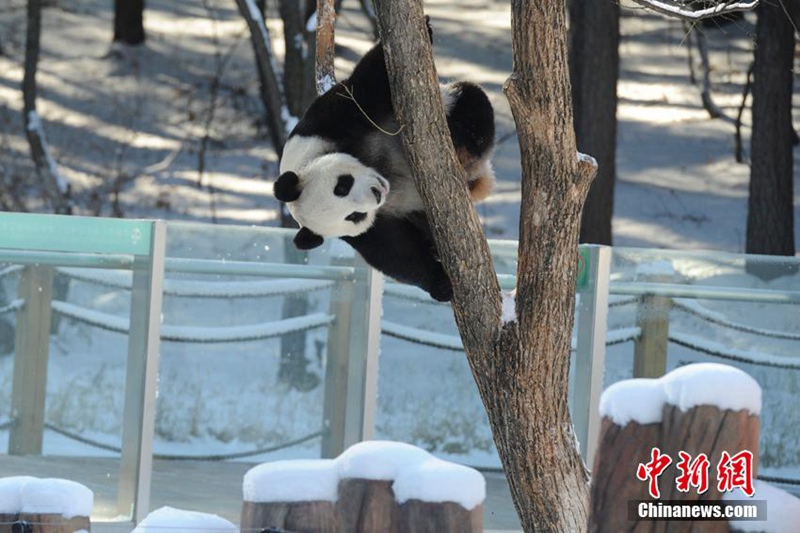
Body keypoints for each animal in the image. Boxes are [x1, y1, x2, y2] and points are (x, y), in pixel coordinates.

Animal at [278, 22, 496, 302]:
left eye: (342, 186)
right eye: (354, 215)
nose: (376, 194)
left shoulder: (324, 125)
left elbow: (365, 87)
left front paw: (423, 26)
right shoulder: (366, 230)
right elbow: (393, 253)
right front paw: (440, 284)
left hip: (451, 107)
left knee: (470, 101)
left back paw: (460, 143)